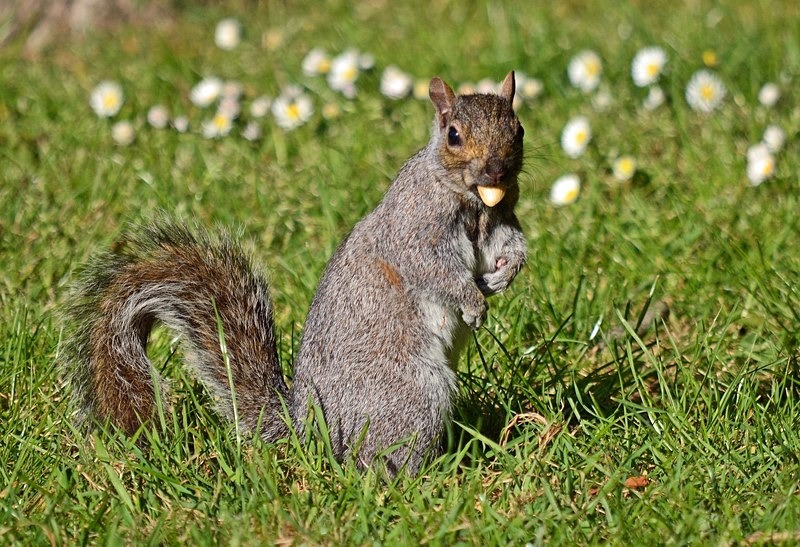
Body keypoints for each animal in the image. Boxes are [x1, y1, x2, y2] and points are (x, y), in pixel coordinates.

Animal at [61, 73, 524, 476]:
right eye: (454, 135)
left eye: (518, 129)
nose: (496, 172)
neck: (473, 202)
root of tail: (308, 428)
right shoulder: (414, 227)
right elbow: (432, 267)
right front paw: (472, 300)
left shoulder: (501, 220)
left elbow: (512, 246)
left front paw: (504, 276)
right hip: (411, 394)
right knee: (383, 456)